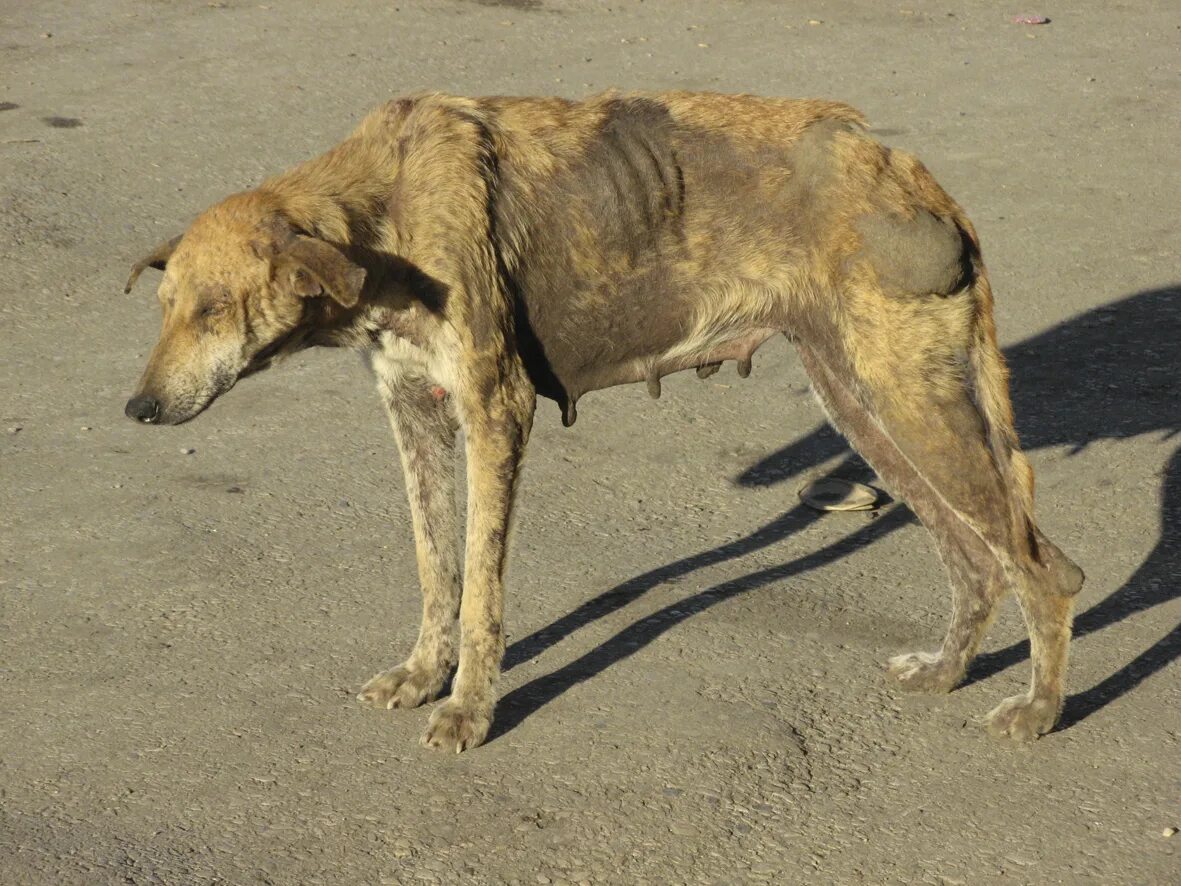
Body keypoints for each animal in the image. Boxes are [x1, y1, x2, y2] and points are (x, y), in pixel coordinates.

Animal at [124, 93, 1081, 751]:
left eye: (212, 309)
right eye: (164, 309)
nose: (138, 409)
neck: (381, 210)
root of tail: (908, 170)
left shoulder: (494, 413)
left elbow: (480, 591)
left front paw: (469, 709)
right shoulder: (415, 416)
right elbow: (437, 572)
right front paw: (424, 676)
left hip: (910, 406)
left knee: (1036, 565)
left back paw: (1038, 708)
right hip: (862, 405)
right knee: (976, 561)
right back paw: (948, 671)